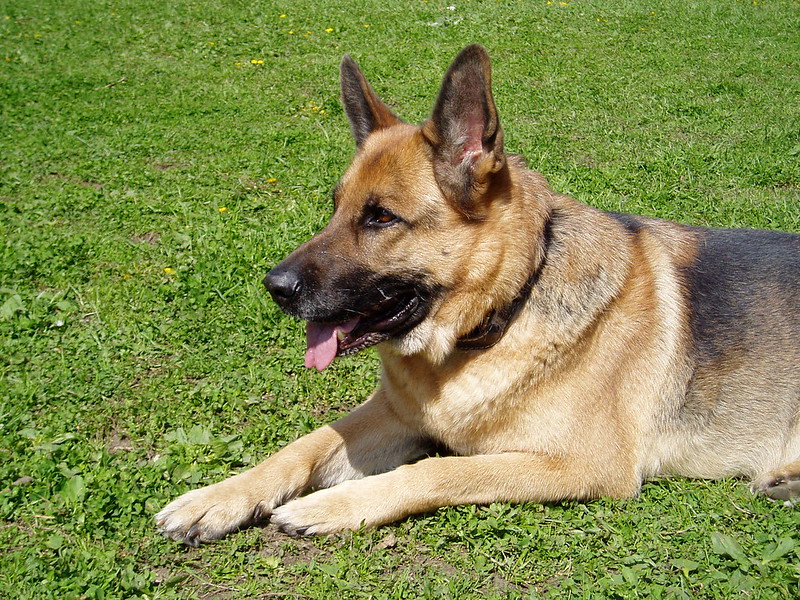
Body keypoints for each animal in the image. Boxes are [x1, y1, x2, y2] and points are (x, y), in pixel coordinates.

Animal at [158, 45, 800, 544]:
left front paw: (331, 506)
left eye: (381, 218)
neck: (496, 317)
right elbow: (305, 445)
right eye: (335, 207)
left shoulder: (584, 465)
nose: (276, 288)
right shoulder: (391, 416)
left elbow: (438, 471)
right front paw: (215, 498)